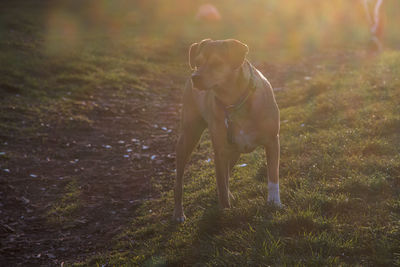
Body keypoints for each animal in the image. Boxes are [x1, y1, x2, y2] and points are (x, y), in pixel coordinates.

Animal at [173, 38, 280, 223]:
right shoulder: (220, 151)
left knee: (228, 173)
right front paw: (225, 211)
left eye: (217, 63)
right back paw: (179, 213)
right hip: (188, 138)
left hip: (234, 151)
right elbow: (221, 185)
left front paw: (274, 202)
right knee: (179, 181)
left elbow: (273, 175)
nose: (195, 77)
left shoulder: (273, 141)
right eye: (197, 63)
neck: (234, 102)